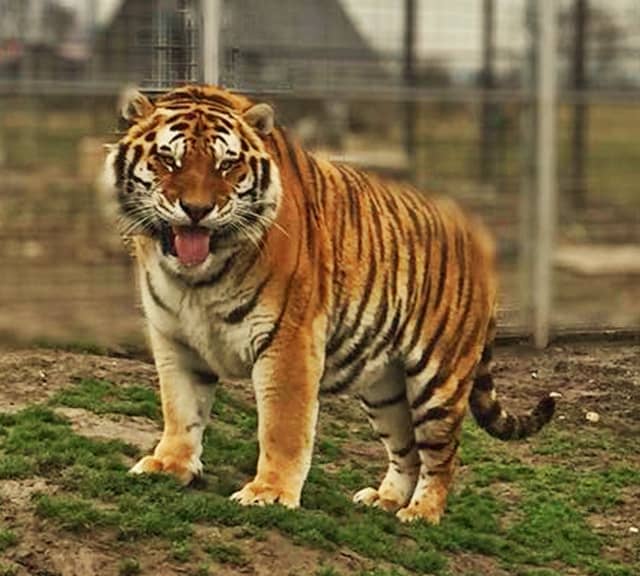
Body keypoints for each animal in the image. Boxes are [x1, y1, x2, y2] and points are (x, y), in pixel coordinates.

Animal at [101, 84, 556, 520]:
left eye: (226, 164)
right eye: (168, 159)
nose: (197, 210)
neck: (197, 279)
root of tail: (480, 235)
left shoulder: (289, 339)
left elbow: (282, 426)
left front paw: (269, 494)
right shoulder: (174, 338)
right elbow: (180, 409)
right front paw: (169, 466)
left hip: (439, 380)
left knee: (442, 457)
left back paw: (422, 512)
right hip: (385, 388)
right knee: (406, 449)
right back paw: (385, 500)